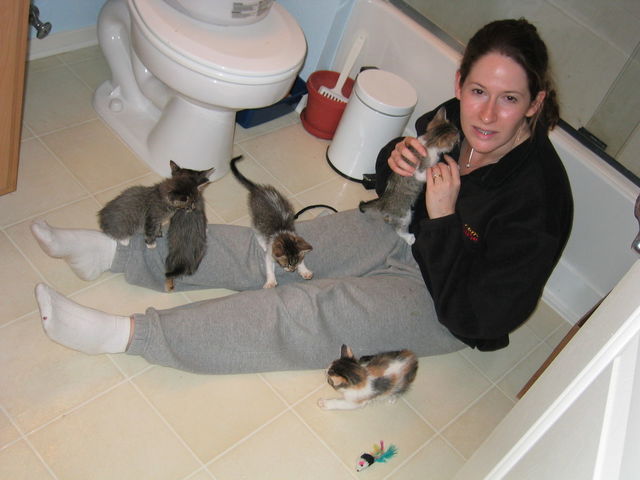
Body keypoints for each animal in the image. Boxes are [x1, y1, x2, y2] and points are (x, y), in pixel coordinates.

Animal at [230, 155, 313, 289]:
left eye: (295, 263)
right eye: (287, 264)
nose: (292, 270)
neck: (282, 233)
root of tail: (257, 188)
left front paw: (304, 270)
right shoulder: (270, 254)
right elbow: (269, 267)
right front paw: (270, 281)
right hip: (257, 217)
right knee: (257, 231)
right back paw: (262, 243)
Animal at [358, 107, 459, 245]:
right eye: (456, 139)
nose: (460, 138)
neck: (429, 141)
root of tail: (383, 201)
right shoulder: (418, 171)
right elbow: (429, 170)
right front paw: (449, 168)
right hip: (405, 214)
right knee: (398, 228)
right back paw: (409, 238)